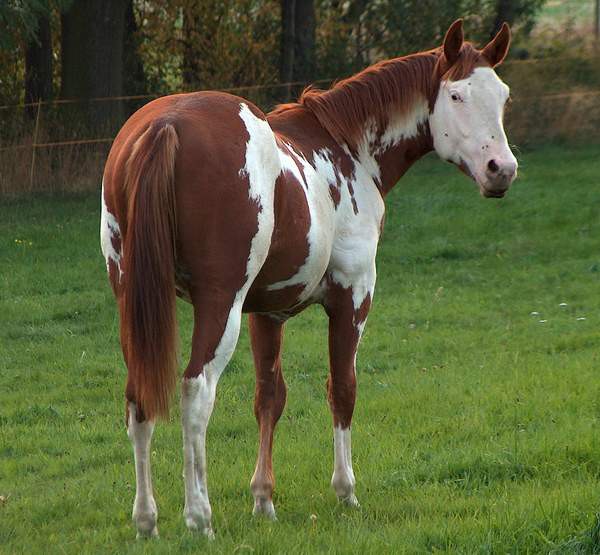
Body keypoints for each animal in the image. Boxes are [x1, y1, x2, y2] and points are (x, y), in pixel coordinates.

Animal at [101, 18, 516, 540]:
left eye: (503, 96)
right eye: (457, 96)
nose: (502, 170)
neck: (346, 148)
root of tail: (166, 124)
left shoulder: (266, 312)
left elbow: (269, 397)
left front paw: (263, 500)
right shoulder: (352, 298)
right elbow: (342, 388)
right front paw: (346, 492)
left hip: (133, 302)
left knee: (139, 397)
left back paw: (147, 519)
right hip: (219, 306)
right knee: (196, 393)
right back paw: (199, 517)